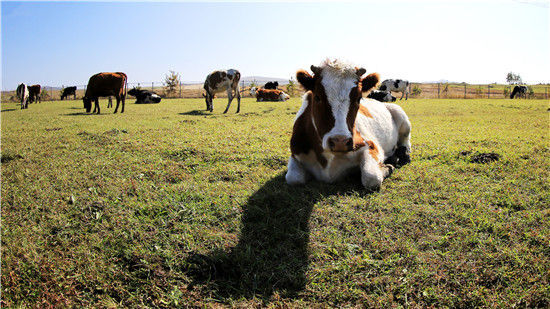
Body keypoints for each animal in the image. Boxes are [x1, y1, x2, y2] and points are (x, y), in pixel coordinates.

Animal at [286, 59, 412, 190]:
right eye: (317, 97)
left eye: (359, 98)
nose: (340, 142)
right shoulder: (295, 154)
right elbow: (293, 178)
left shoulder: (371, 145)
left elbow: (371, 177)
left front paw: (387, 167)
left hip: (401, 116)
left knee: (406, 142)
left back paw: (402, 154)